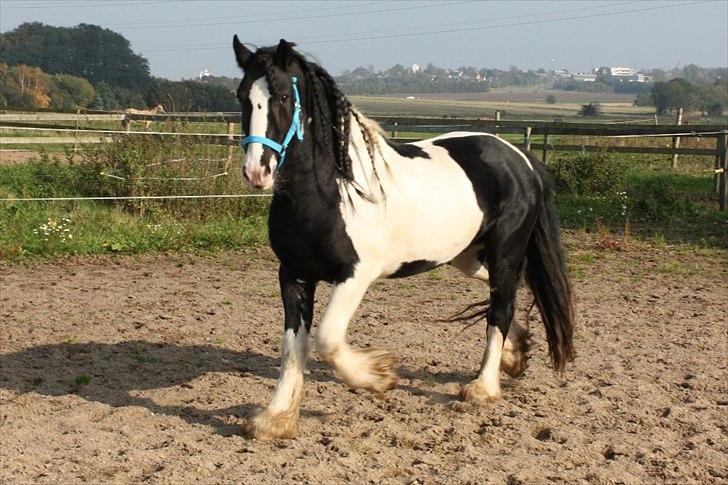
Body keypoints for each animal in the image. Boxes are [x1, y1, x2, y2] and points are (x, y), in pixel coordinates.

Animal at [232, 37, 576, 438]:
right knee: (503, 292)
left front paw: (379, 376)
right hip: (466, 254)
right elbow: (292, 349)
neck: (333, 193)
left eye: (284, 96)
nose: (257, 172)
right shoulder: (293, 274)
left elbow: (327, 340)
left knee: (501, 307)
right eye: (242, 95)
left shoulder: (355, 276)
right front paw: (275, 419)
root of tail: (519, 157)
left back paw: (484, 387)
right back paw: (515, 352)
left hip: (506, 249)